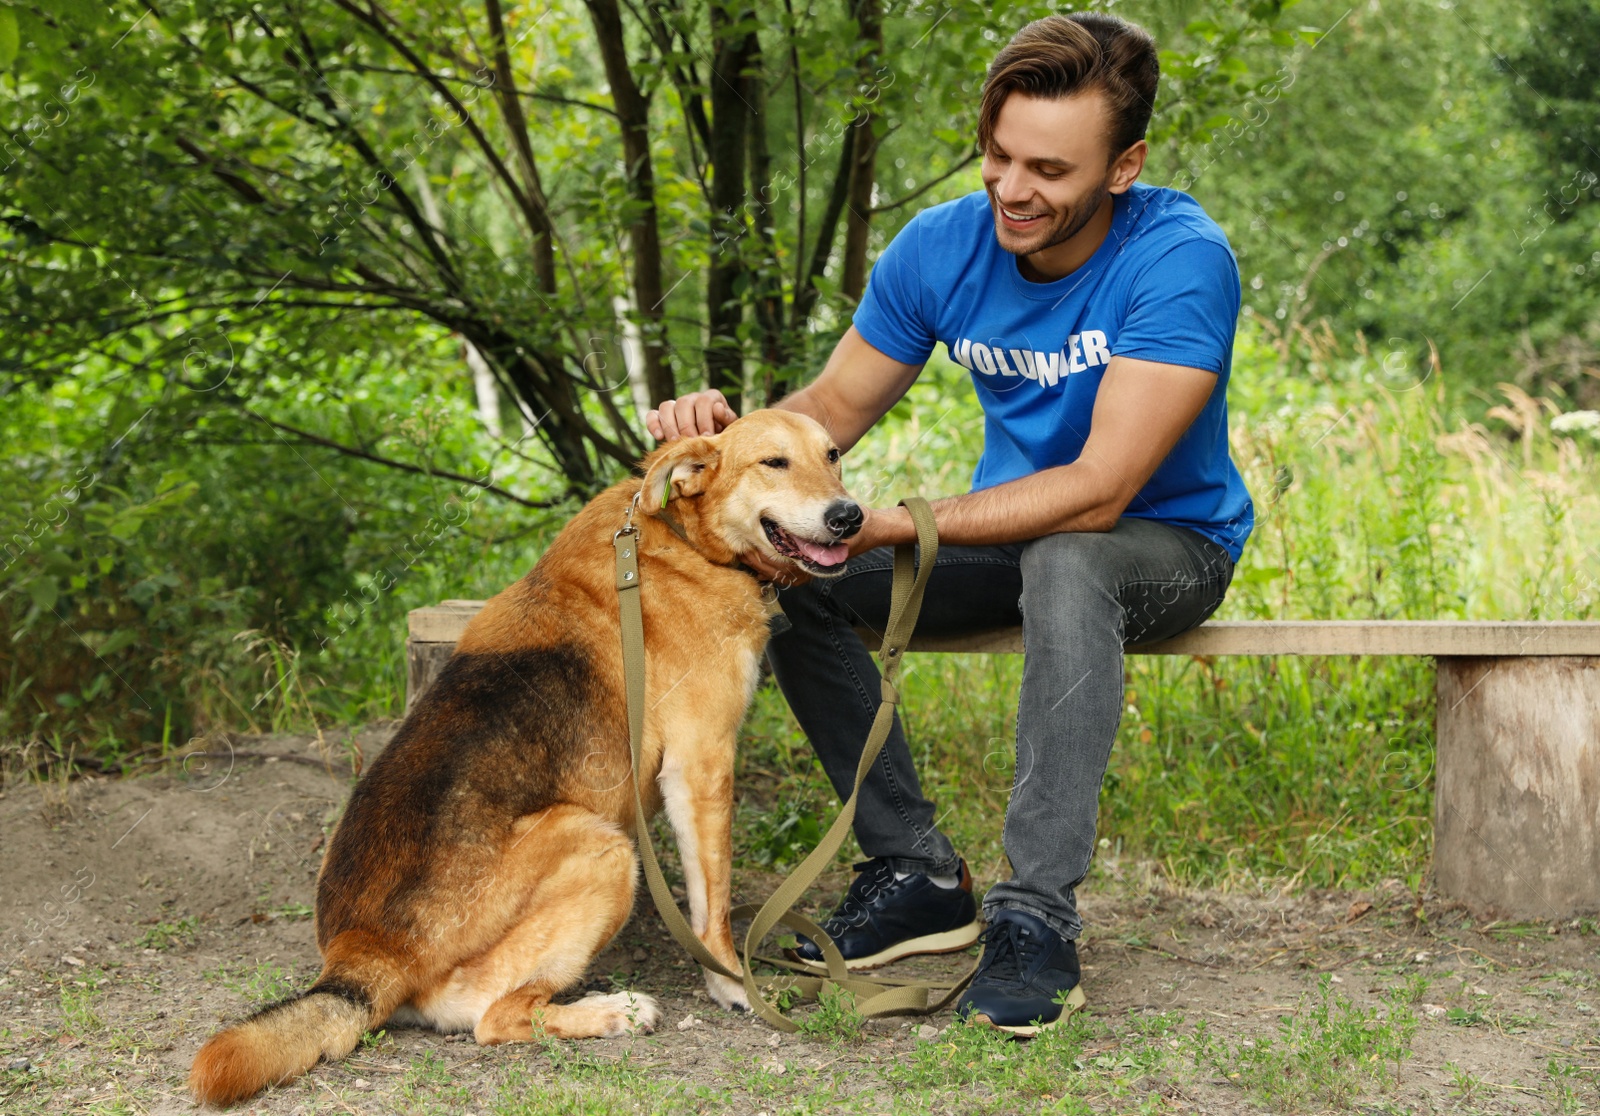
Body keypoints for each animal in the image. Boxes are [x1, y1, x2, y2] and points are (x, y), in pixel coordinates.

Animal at [190, 409, 864, 1106]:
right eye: (774, 462)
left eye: (833, 455)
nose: (850, 516)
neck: (684, 538)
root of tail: (363, 956)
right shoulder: (701, 767)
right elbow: (715, 912)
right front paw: (732, 983)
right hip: (602, 846)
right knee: (496, 1017)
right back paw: (614, 1011)